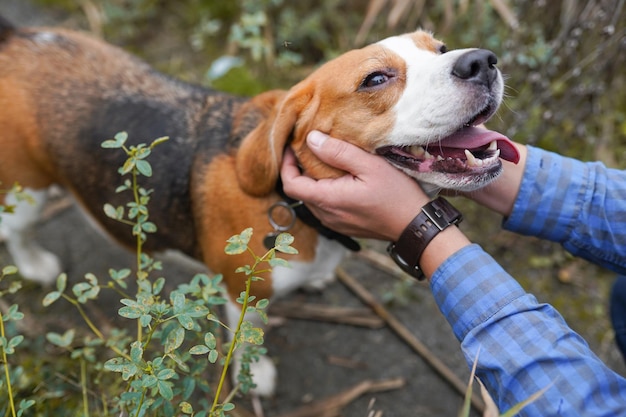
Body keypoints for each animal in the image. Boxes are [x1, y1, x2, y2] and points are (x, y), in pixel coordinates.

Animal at [0, 15, 516, 394]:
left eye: (442, 49)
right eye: (375, 78)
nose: (483, 61)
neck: (296, 203)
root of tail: (20, 37)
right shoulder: (241, 292)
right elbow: (248, 340)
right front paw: (256, 376)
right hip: (27, 191)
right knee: (16, 232)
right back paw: (35, 263)